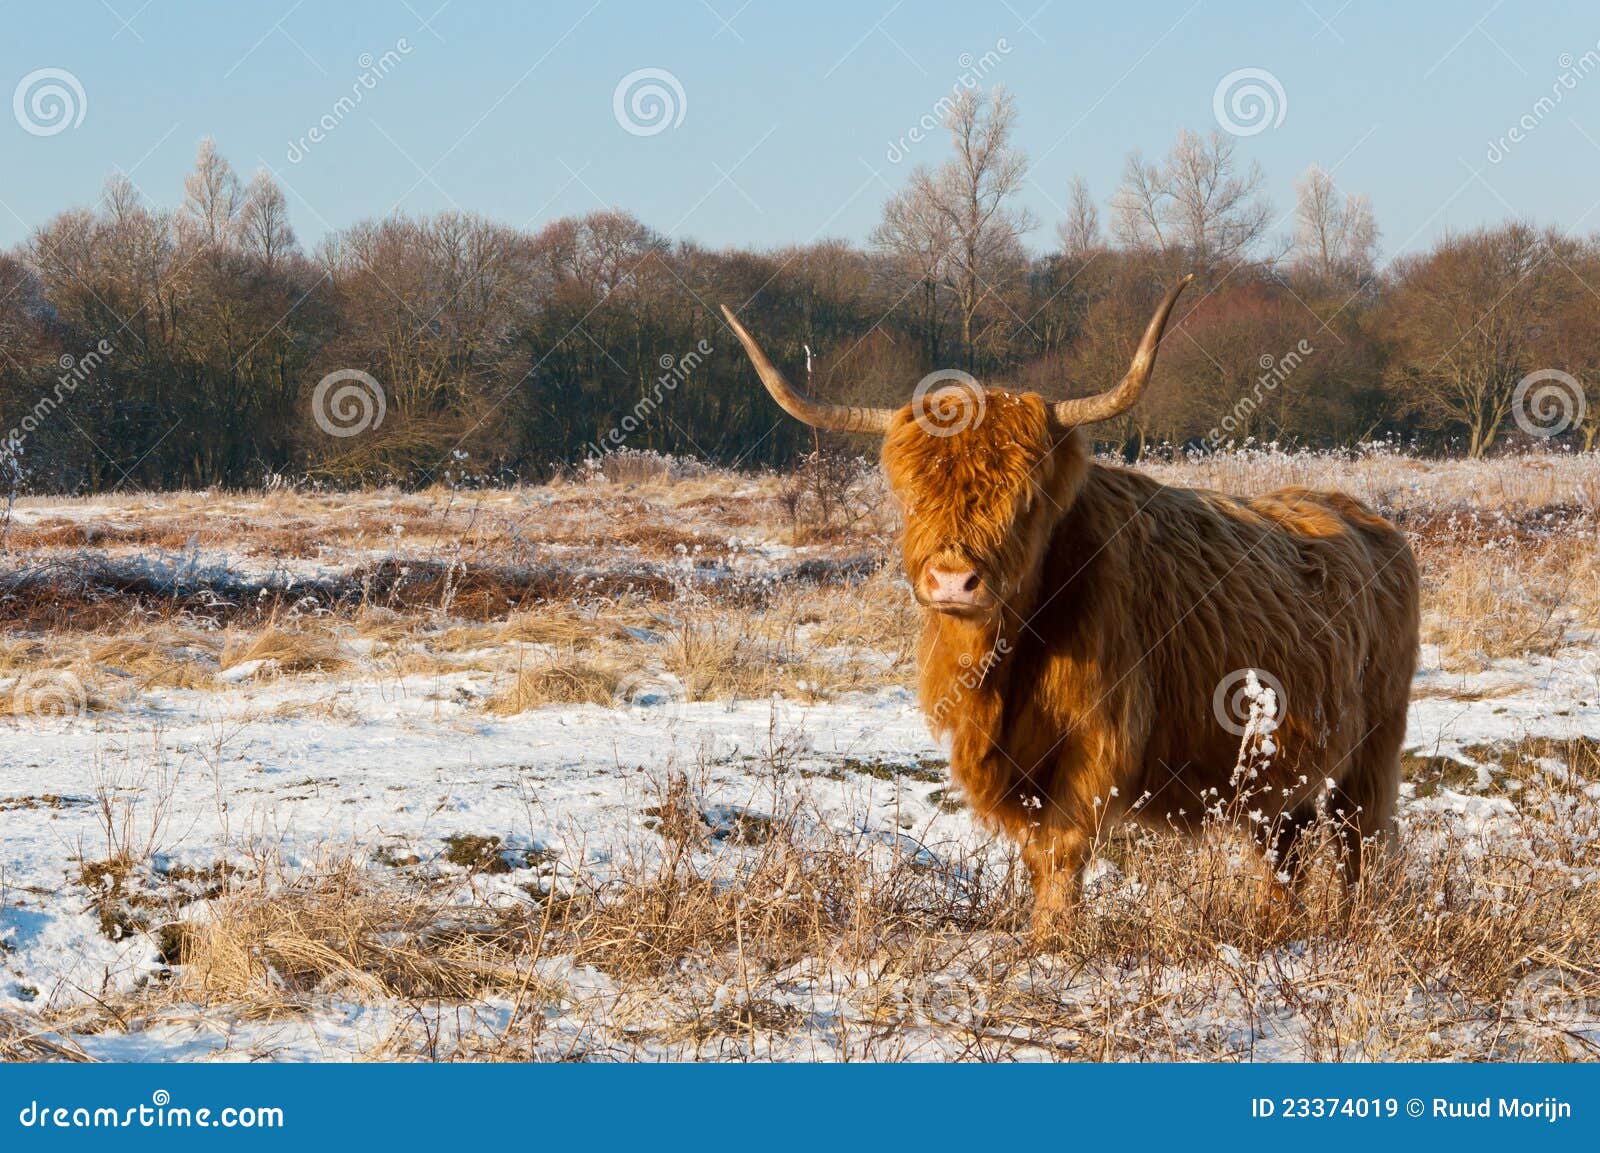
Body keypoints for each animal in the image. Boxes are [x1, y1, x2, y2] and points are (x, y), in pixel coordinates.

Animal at [720, 276, 1420, 942]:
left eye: (1024, 499)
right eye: (912, 494)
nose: (952, 581)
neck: (1005, 659)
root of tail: (1360, 517)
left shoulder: (1096, 739)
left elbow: (1060, 850)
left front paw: (1052, 940)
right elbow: (1037, 852)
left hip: (1375, 745)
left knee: (1358, 839)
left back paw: (1355, 925)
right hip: (1284, 764)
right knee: (1284, 844)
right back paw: (1277, 924)